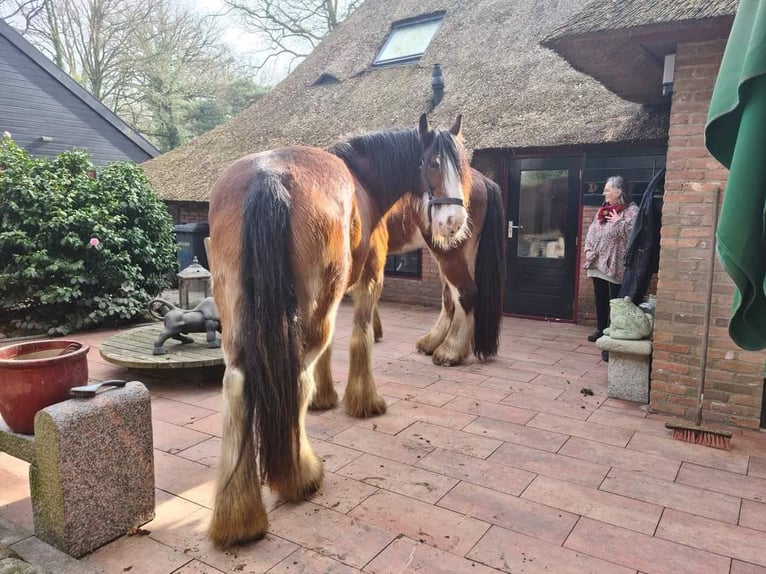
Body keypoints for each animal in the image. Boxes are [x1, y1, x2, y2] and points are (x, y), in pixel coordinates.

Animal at [207, 113, 472, 548]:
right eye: (430, 163)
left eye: (463, 166)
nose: (454, 223)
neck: (362, 175)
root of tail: (268, 176)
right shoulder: (369, 277)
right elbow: (359, 336)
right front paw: (363, 400)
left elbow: (330, 348)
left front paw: (327, 396)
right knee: (296, 378)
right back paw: (300, 476)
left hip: (238, 307)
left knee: (237, 385)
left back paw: (237, 515)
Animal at [376, 171, 508, 366]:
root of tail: (483, 180)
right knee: (450, 297)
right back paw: (432, 343)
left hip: (448, 254)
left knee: (465, 293)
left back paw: (450, 351)